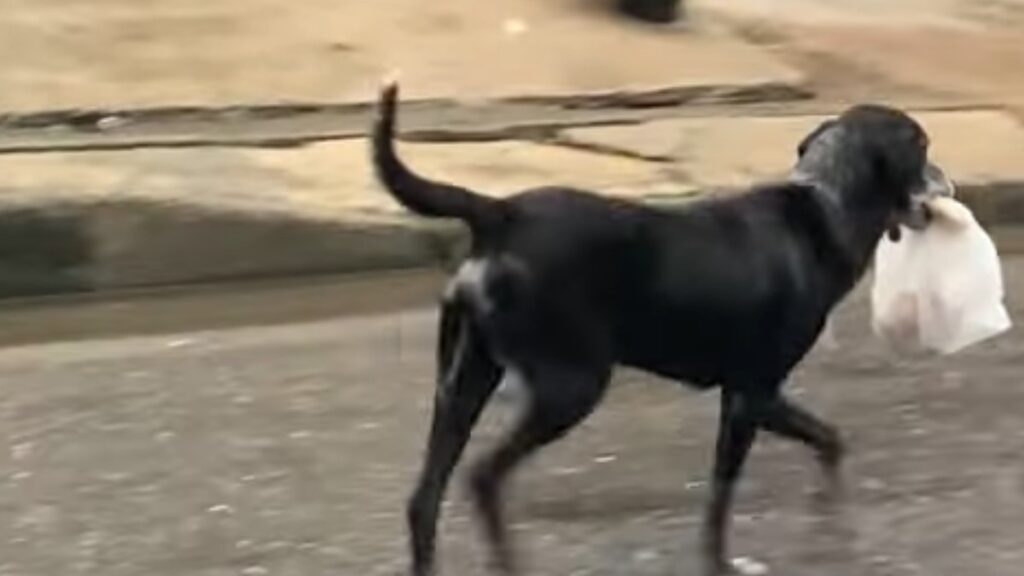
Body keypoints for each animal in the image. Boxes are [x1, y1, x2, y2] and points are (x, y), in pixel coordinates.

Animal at [374, 81, 950, 573]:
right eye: (921, 144)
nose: (946, 180)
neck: (825, 201)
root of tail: (499, 213)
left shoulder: (752, 396)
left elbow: (828, 438)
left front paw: (829, 506)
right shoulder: (751, 395)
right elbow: (720, 497)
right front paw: (719, 562)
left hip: (463, 382)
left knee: (424, 498)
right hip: (571, 385)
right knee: (482, 478)